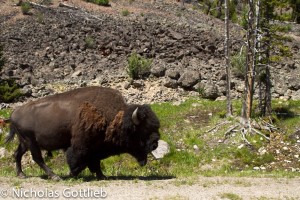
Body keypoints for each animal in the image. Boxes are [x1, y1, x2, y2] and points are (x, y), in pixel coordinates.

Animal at [4, 86, 161, 180]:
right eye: (143, 130)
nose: (155, 143)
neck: (115, 118)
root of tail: (14, 113)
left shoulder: (96, 149)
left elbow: (95, 162)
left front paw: (102, 176)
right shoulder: (82, 145)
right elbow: (79, 160)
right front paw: (72, 174)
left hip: (24, 142)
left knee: (17, 154)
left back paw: (21, 175)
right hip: (30, 142)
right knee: (37, 158)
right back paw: (55, 176)